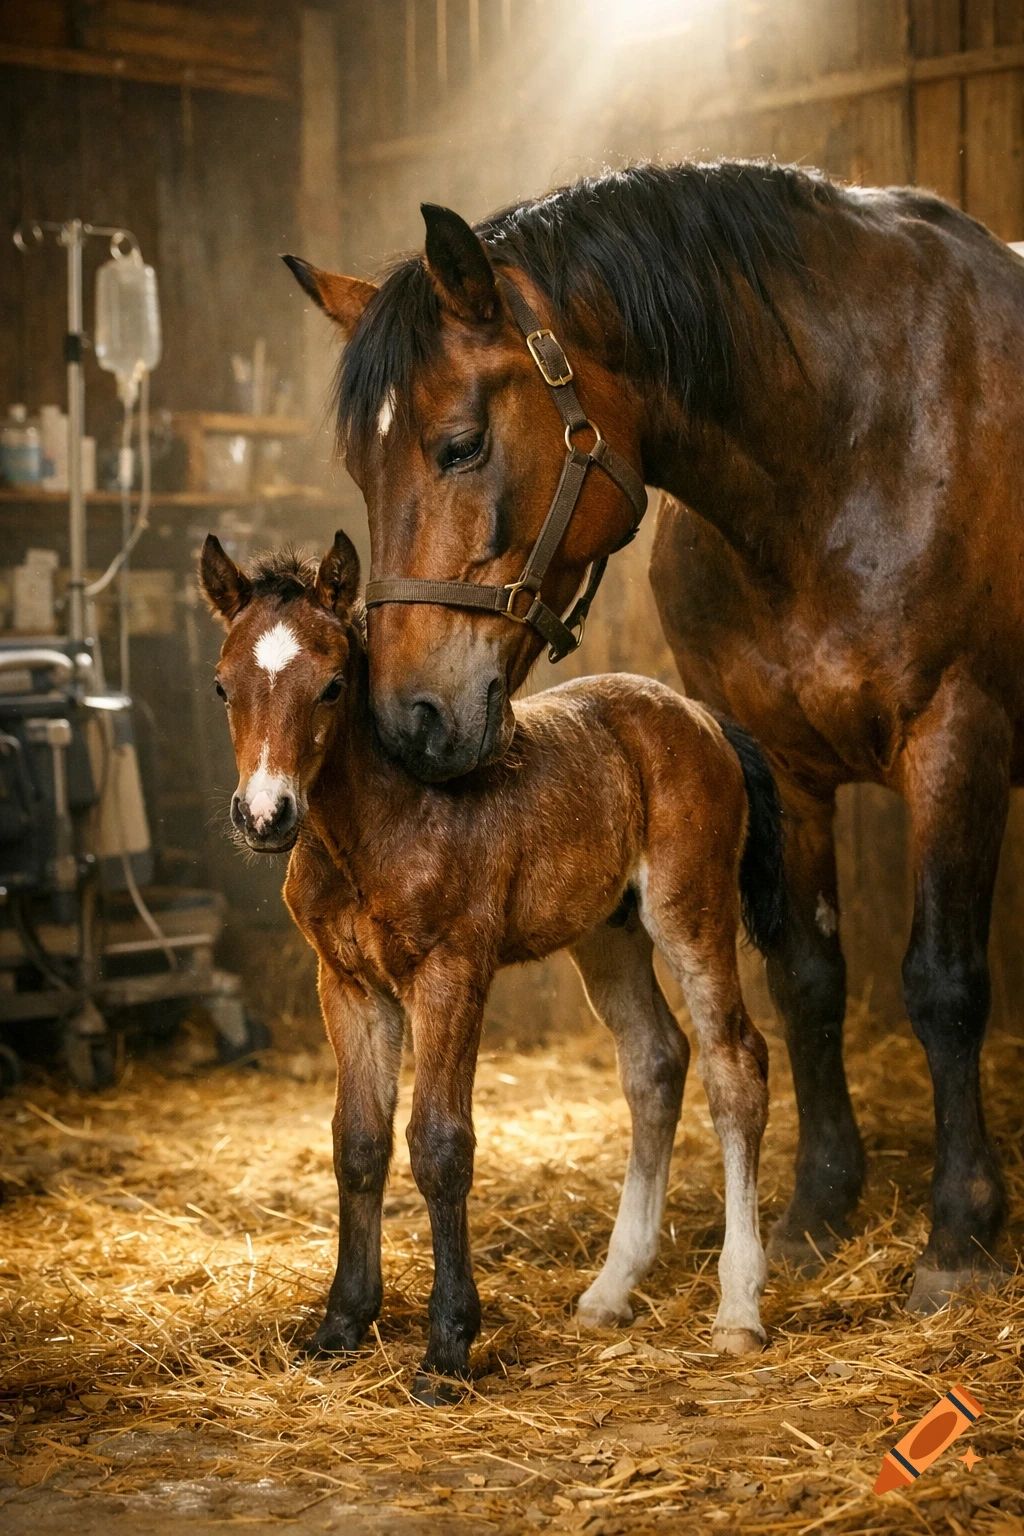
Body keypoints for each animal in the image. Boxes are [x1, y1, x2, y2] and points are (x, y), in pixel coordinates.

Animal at [199, 527, 786, 1391]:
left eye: (333, 686)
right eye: (222, 686)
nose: (266, 815)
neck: (373, 827)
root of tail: (700, 716)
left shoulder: (452, 971)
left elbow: (441, 1144)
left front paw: (447, 1348)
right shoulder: (346, 984)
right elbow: (358, 1141)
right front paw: (341, 1324)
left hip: (690, 910)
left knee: (733, 1063)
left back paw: (739, 1309)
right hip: (608, 934)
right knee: (655, 1061)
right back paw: (610, 1291)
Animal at [284, 158, 1024, 1313]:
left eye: (461, 445)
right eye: (360, 472)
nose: (410, 723)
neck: (856, 443)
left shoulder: (960, 738)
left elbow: (943, 983)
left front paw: (958, 1235)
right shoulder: (786, 768)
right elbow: (808, 977)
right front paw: (816, 1209)